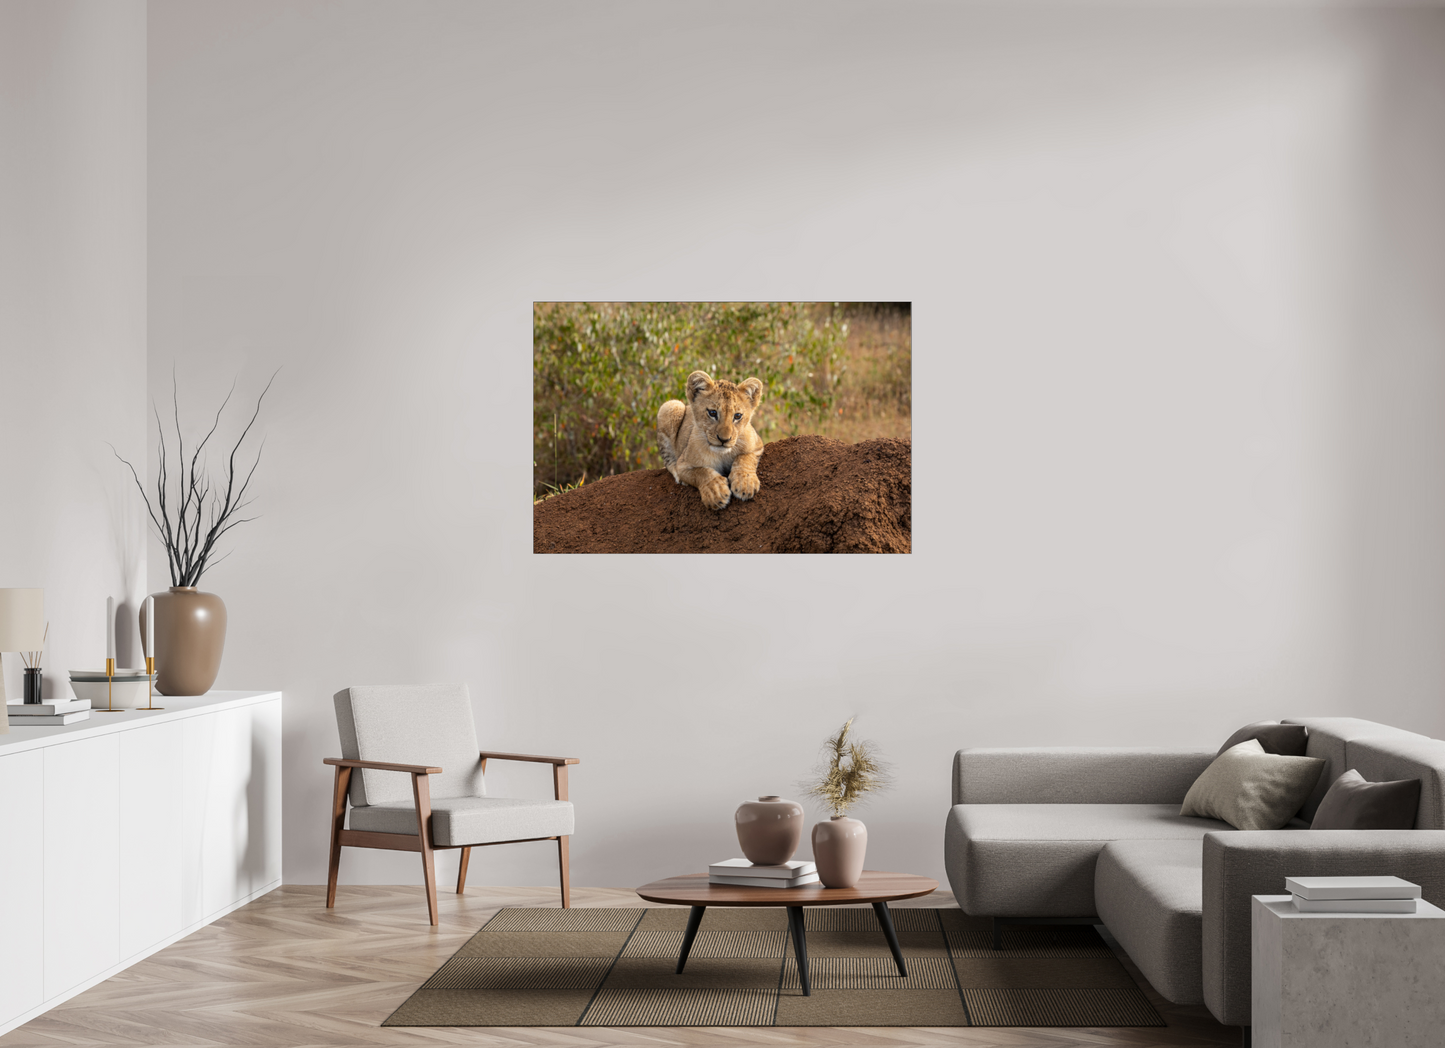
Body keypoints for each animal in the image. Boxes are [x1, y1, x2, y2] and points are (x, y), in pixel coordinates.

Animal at [656, 370, 765, 510]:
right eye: (712, 413)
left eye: (737, 416)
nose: (724, 439)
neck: (722, 454)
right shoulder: (683, 465)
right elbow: (701, 472)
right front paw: (716, 491)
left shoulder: (757, 445)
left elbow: (745, 458)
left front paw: (745, 483)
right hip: (671, 406)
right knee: (668, 459)